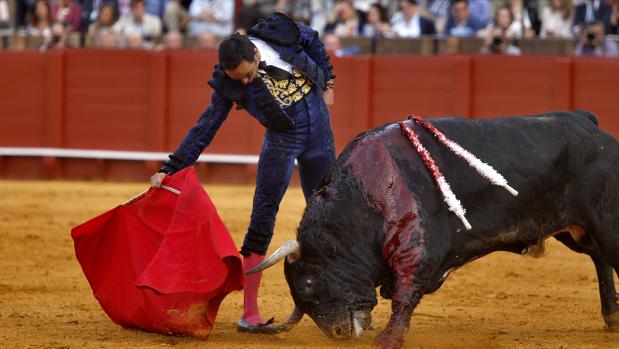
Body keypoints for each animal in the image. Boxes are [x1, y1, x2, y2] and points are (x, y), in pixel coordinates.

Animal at [252, 109, 619, 348]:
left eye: (308, 283)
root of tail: (586, 122)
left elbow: (405, 294)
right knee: (599, 258)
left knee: (608, 254)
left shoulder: (414, 249)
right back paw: (611, 315)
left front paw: (388, 339)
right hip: (573, 229)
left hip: (606, 221)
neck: (363, 195)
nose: (338, 334)